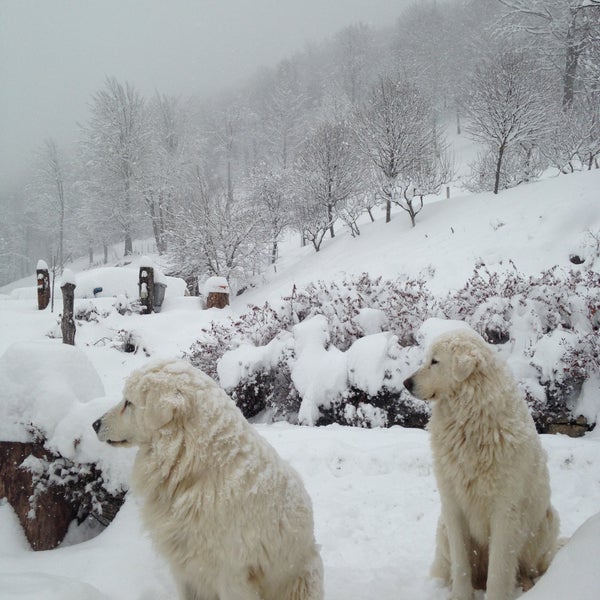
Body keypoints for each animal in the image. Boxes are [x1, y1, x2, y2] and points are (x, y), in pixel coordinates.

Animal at [404, 328, 556, 600]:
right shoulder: (452, 504)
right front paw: (460, 596)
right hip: (442, 528)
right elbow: (461, 562)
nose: (406, 383)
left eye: (435, 361)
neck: (468, 420)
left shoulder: (504, 510)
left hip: (546, 521)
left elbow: (499, 568)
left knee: (526, 567)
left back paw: (527, 585)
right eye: (427, 359)